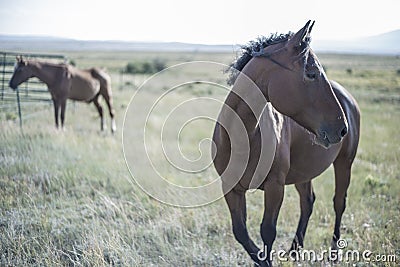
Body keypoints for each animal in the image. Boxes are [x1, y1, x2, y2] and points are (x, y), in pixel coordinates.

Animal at [214, 20, 360, 266]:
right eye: (311, 74)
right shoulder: (231, 188)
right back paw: (294, 251)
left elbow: (267, 232)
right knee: (307, 203)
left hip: (344, 163)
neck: (243, 137)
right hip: (304, 172)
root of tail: (348, 99)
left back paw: (333, 253)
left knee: (339, 203)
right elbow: (241, 232)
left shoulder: (275, 187)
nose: (342, 129)